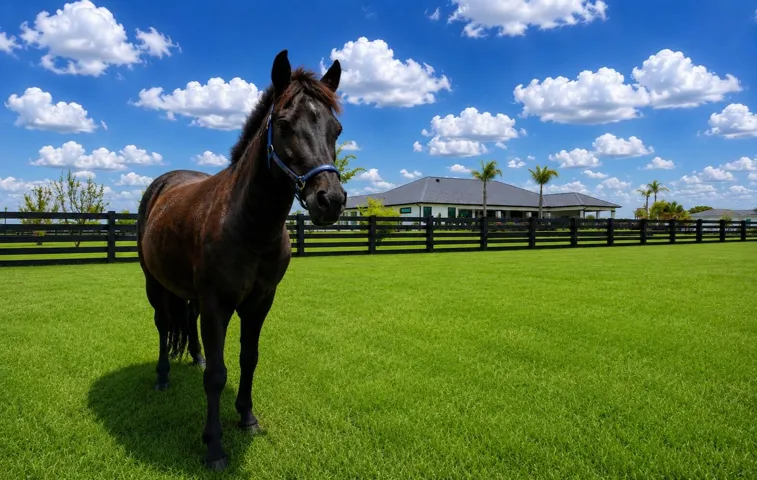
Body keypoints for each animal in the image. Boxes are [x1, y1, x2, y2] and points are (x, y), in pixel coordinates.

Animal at [136, 49, 346, 471]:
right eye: (283, 124)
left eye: (337, 129)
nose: (329, 200)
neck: (247, 224)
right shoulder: (218, 304)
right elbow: (218, 375)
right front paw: (214, 447)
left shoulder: (260, 302)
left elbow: (249, 358)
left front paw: (246, 417)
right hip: (155, 284)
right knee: (164, 326)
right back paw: (163, 377)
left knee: (187, 321)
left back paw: (195, 358)